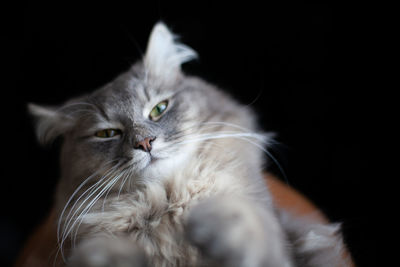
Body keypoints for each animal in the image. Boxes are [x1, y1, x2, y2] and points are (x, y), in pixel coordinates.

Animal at [28, 22, 350, 266]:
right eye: (107, 134)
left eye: (159, 109)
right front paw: (108, 256)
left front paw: (225, 222)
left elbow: (254, 234)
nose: (145, 142)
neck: (168, 200)